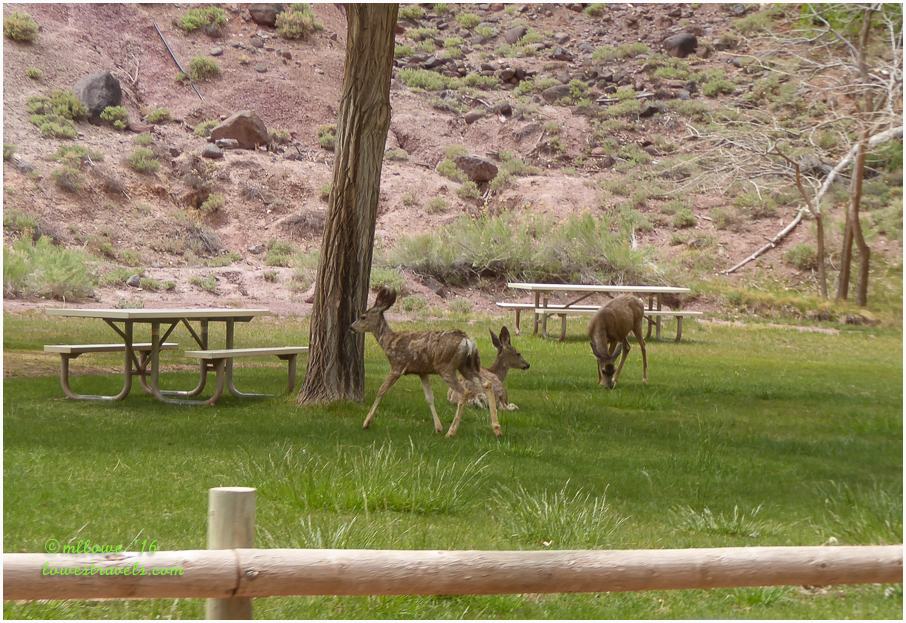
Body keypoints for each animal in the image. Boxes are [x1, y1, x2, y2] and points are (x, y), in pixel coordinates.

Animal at [350, 287, 501, 438]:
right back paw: (497, 429)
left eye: (363, 317)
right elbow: (429, 398)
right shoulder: (422, 371)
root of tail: (467, 341)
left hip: (446, 367)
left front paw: (366, 423)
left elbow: (381, 391)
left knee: (464, 392)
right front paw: (438, 427)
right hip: (468, 366)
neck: (389, 342)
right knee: (487, 384)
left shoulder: (397, 366)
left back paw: (451, 432)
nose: (351, 327)